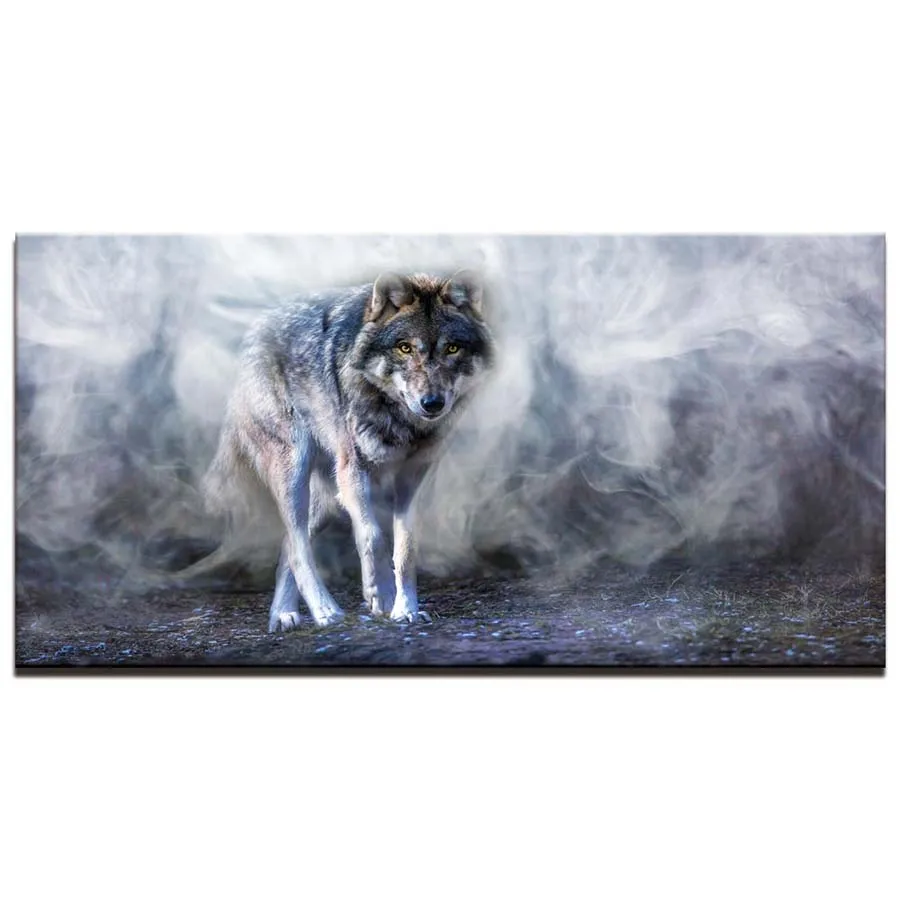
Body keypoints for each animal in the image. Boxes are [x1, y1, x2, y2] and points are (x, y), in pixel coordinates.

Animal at [204, 271, 495, 632]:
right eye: (405, 348)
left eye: (452, 348)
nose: (432, 403)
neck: (398, 422)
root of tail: (254, 330)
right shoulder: (353, 473)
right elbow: (372, 536)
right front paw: (380, 594)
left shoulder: (411, 482)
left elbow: (406, 548)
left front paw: (407, 610)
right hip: (295, 473)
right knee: (297, 547)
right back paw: (325, 612)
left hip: (325, 500)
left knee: (287, 545)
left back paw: (283, 614)